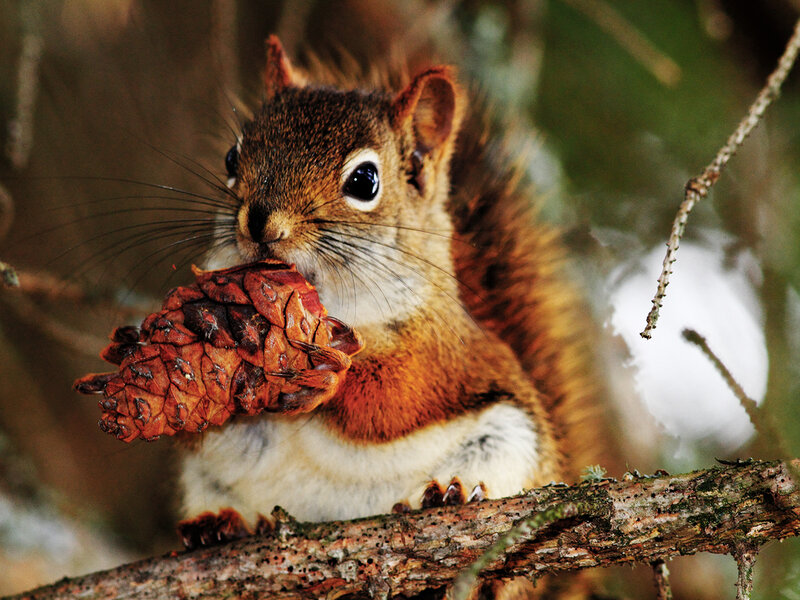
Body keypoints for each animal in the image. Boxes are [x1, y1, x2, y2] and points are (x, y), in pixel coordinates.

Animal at [178, 36, 606, 553]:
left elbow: (394, 397)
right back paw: (222, 523)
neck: (330, 304)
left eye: (364, 181)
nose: (260, 223)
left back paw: (450, 492)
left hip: (511, 440)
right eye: (231, 158)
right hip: (206, 478)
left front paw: (333, 374)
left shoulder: (438, 350)